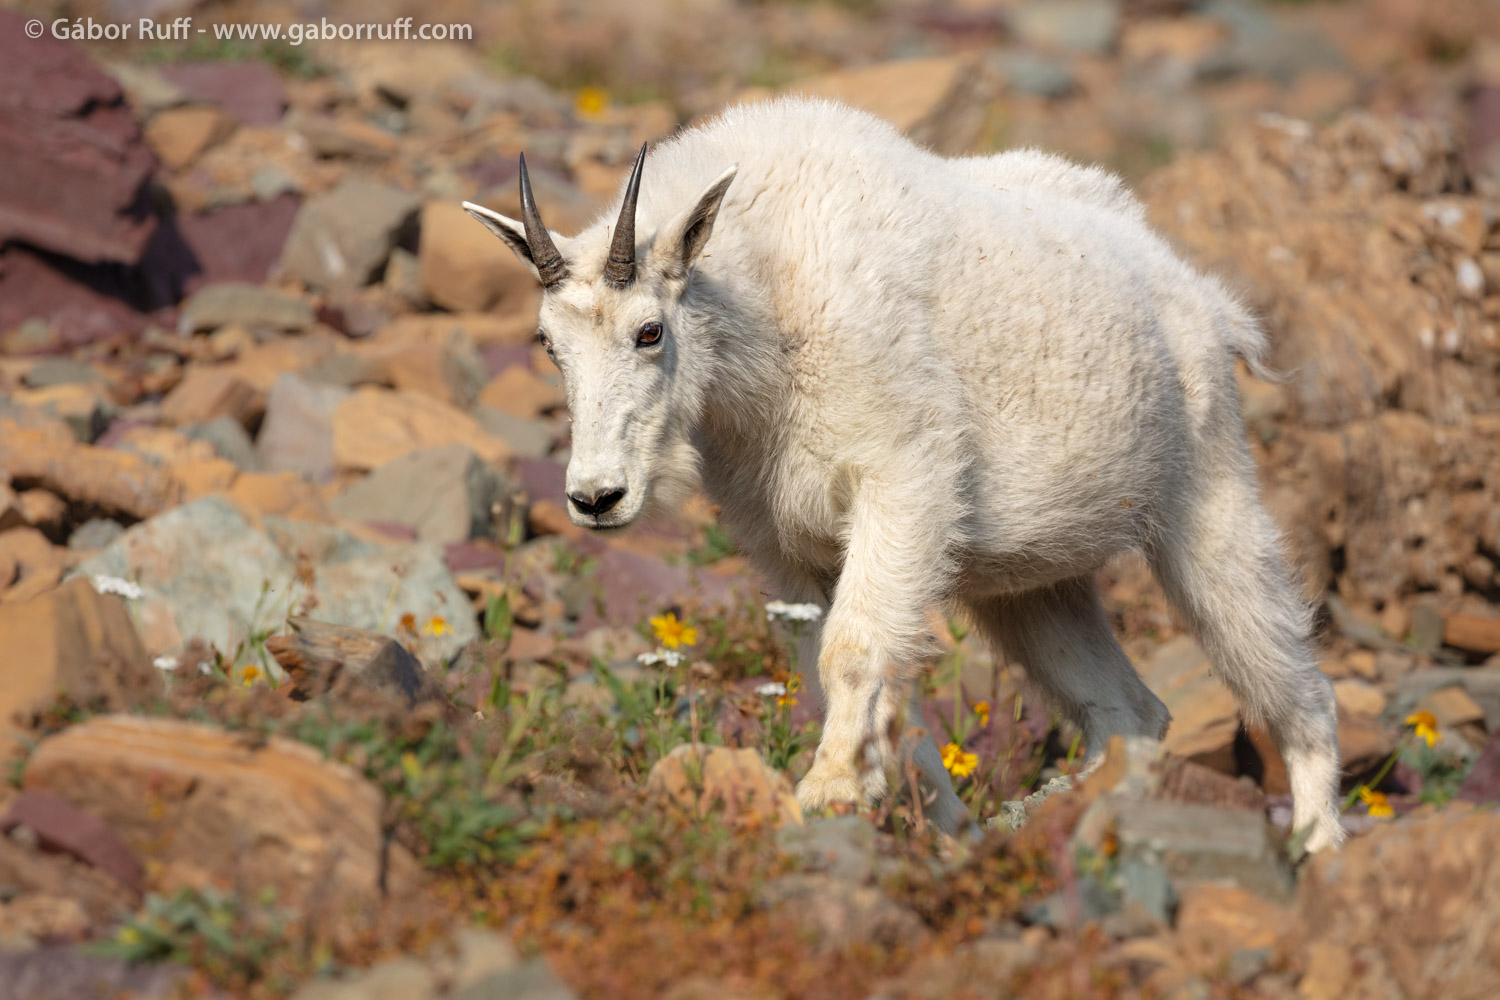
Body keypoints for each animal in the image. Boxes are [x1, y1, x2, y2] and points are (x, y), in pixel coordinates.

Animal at [463, 97, 1344, 852]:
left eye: (649, 331)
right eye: (548, 344)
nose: (595, 497)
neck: (770, 298)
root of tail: (1201, 294)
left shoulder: (902, 482)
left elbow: (852, 648)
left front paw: (827, 792)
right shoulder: (786, 547)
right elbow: (851, 672)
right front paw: (922, 815)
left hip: (1208, 495)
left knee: (1292, 680)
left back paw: (1316, 840)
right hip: (1035, 587)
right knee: (1131, 714)